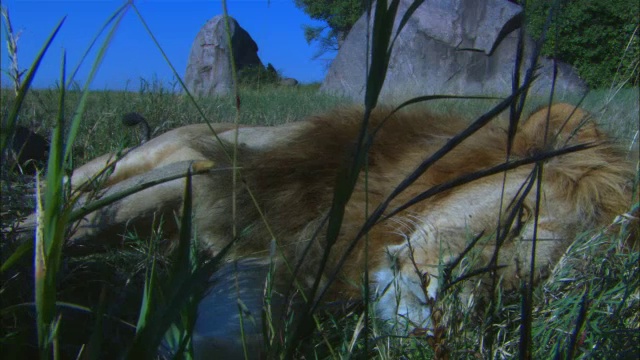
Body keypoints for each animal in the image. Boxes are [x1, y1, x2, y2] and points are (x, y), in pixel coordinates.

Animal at [17, 102, 632, 354]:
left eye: (518, 296)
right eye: (516, 215)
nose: (439, 322)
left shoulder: (272, 262)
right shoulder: (218, 172)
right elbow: (107, 211)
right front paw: (29, 259)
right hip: (159, 148)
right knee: (80, 182)